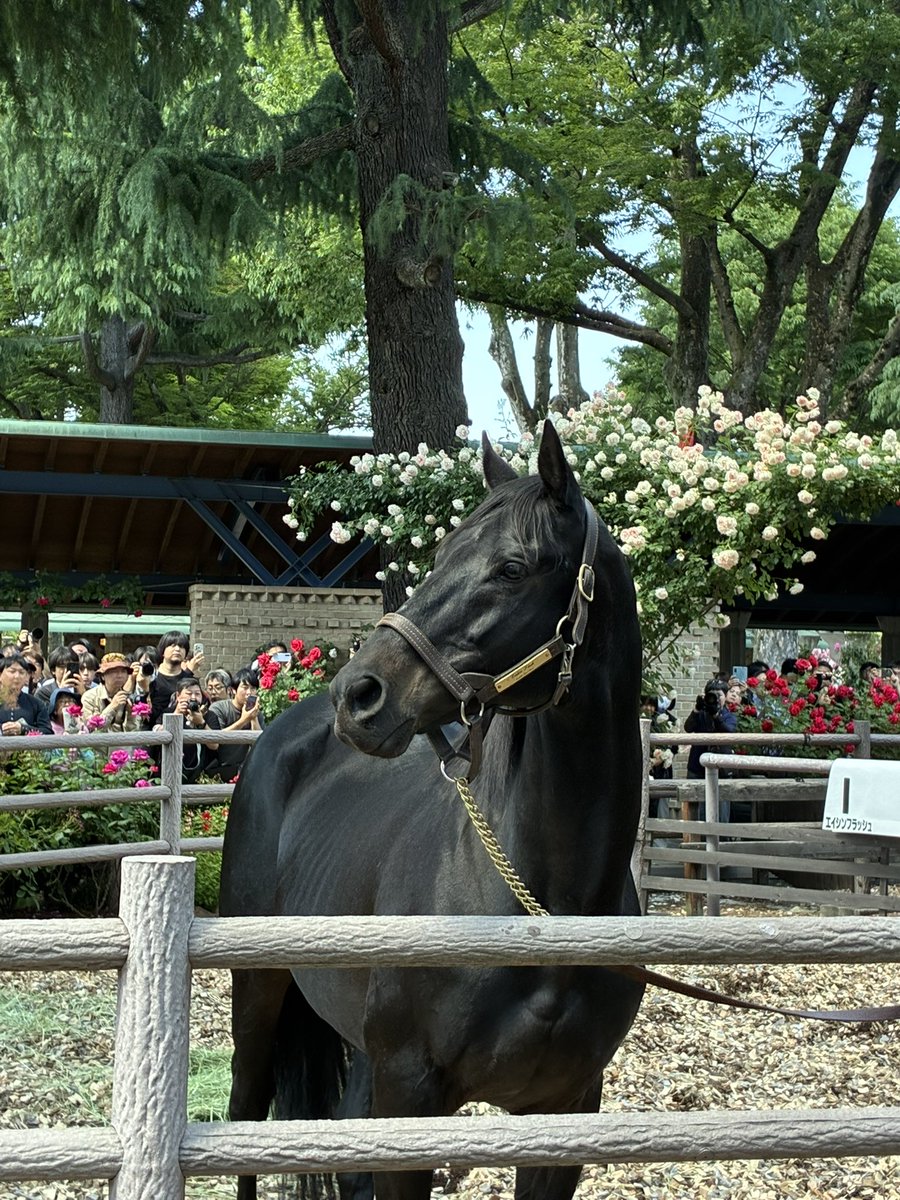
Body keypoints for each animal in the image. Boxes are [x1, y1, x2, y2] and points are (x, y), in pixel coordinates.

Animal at [218, 420, 645, 1200]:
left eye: (511, 568)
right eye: (442, 554)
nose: (359, 693)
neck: (544, 908)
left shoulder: (566, 1110)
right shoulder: (411, 1095)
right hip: (259, 996)